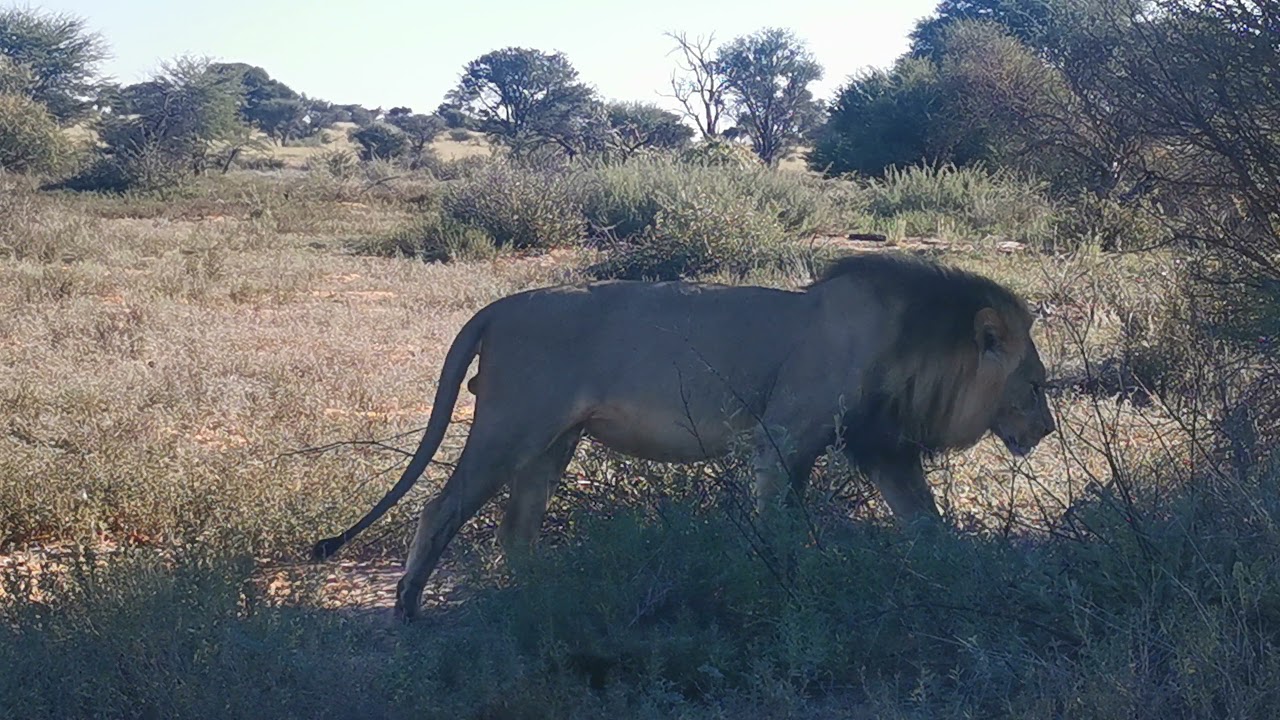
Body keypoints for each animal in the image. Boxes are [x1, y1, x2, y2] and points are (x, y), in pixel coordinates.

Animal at [312, 253, 1056, 620]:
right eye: (1037, 385)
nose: (1047, 429)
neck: (912, 348)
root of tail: (499, 306)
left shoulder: (882, 445)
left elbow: (925, 521)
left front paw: (958, 574)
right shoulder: (783, 438)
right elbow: (781, 526)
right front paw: (783, 586)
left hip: (555, 441)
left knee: (517, 526)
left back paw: (539, 597)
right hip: (511, 425)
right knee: (442, 507)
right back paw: (409, 610)